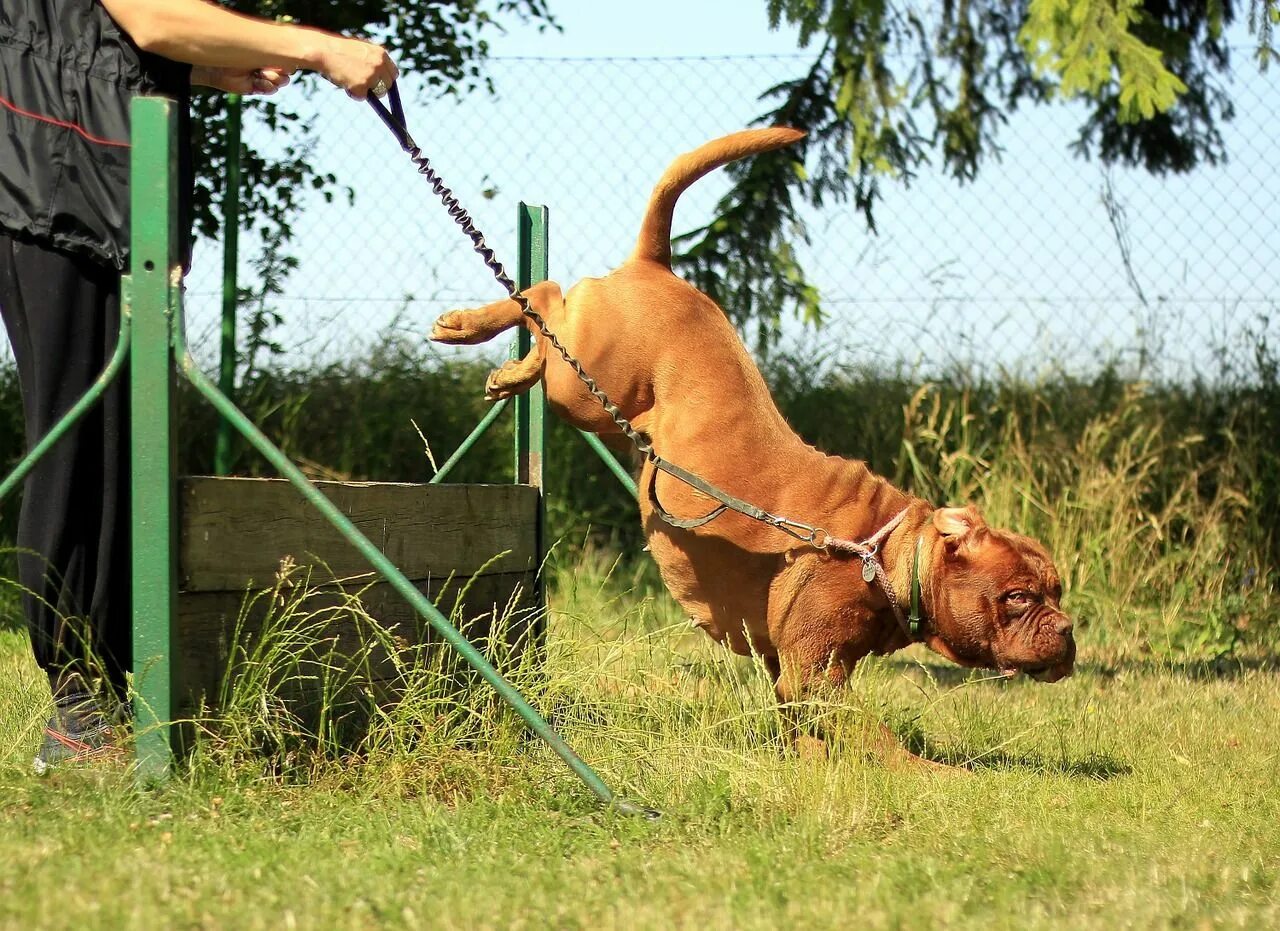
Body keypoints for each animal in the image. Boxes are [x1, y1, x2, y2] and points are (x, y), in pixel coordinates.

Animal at [435, 129, 1075, 742]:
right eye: (1018, 596)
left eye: (1059, 591)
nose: (1068, 631)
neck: (884, 554)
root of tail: (656, 265)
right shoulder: (817, 676)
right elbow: (889, 750)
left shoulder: (795, 671)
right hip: (587, 382)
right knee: (544, 295)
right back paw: (479, 336)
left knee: (543, 308)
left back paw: (501, 361)